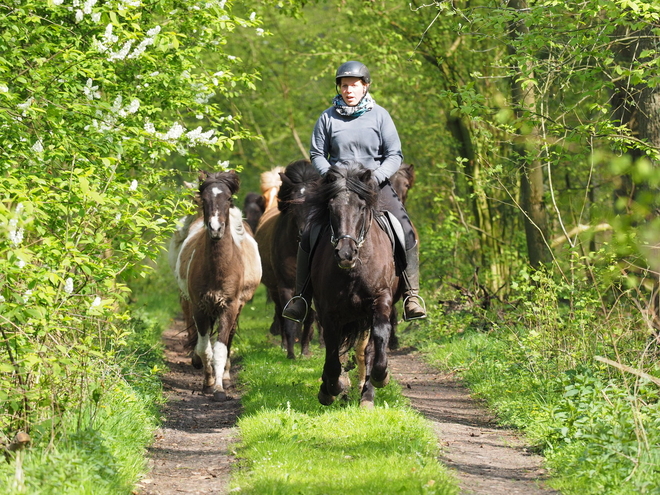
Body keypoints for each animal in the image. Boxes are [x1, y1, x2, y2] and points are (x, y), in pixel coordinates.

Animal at [173, 170, 262, 400]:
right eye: (205, 199)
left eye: (228, 198)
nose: (215, 228)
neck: (218, 270)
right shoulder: (199, 306)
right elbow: (205, 348)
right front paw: (208, 382)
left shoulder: (229, 307)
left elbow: (221, 348)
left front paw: (220, 388)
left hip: (238, 307)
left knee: (228, 340)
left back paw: (226, 377)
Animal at [306, 163, 400, 406]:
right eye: (331, 208)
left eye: (361, 207)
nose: (345, 254)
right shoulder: (328, 310)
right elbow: (332, 349)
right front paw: (331, 388)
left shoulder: (381, 299)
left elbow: (380, 335)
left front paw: (381, 376)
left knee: (367, 349)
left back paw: (367, 396)